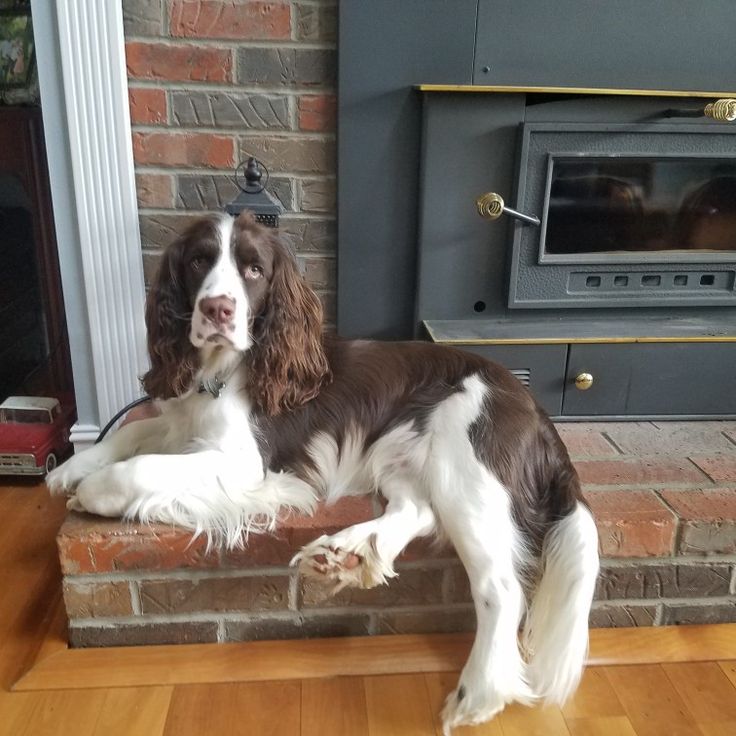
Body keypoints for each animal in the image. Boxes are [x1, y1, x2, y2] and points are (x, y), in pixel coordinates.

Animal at [47, 210, 600, 732]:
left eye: (253, 269)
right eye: (199, 261)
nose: (217, 309)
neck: (222, 371)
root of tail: (535, 409)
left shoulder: (243, 462)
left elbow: (140, 466)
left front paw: (93, 490)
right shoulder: (183, 423)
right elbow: (134, 432)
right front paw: (71, 467)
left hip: (466, 462)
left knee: (500, 586)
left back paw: (480, 692)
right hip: (399, 454)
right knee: (417, 510)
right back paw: (348, 552)